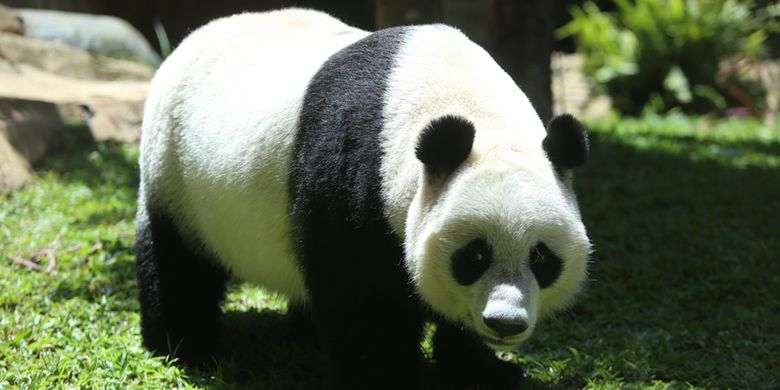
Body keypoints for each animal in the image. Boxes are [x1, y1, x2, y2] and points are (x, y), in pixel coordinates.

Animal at [137, 7, 592, 388]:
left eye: (541, 257)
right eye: (475, 255)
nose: (505, 323)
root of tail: (196, 35)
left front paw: (482, 371)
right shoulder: (353, 179)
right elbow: (362, 305)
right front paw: (388, 375)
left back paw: (304, 336)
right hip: (174, 169)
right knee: (176, 262)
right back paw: (186, 346)